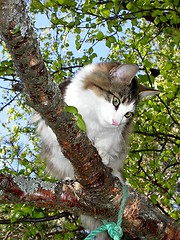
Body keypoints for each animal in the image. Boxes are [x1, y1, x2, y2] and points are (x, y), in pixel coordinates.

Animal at [34, 62, 159, 239]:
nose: (115, 122)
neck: (96, 120)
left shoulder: (114, 135)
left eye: (127, 114)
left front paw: (102, 154)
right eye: (115, 101)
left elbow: (105, 144)